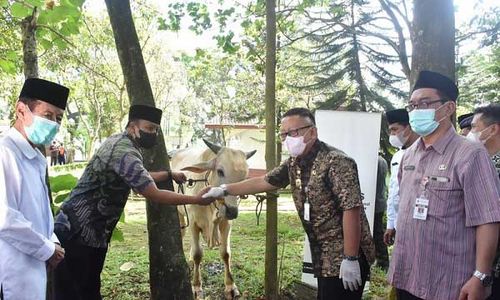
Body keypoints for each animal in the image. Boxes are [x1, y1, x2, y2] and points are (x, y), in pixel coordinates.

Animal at [172, 139, 258, 298]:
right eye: (220, 171)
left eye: (244, 178)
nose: (232, 211)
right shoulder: (193, 223)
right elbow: (198, 254)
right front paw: (196, 286)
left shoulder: (226, 223)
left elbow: (226, 253)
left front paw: (230, 286)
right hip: (180, 212)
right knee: (182, 233)